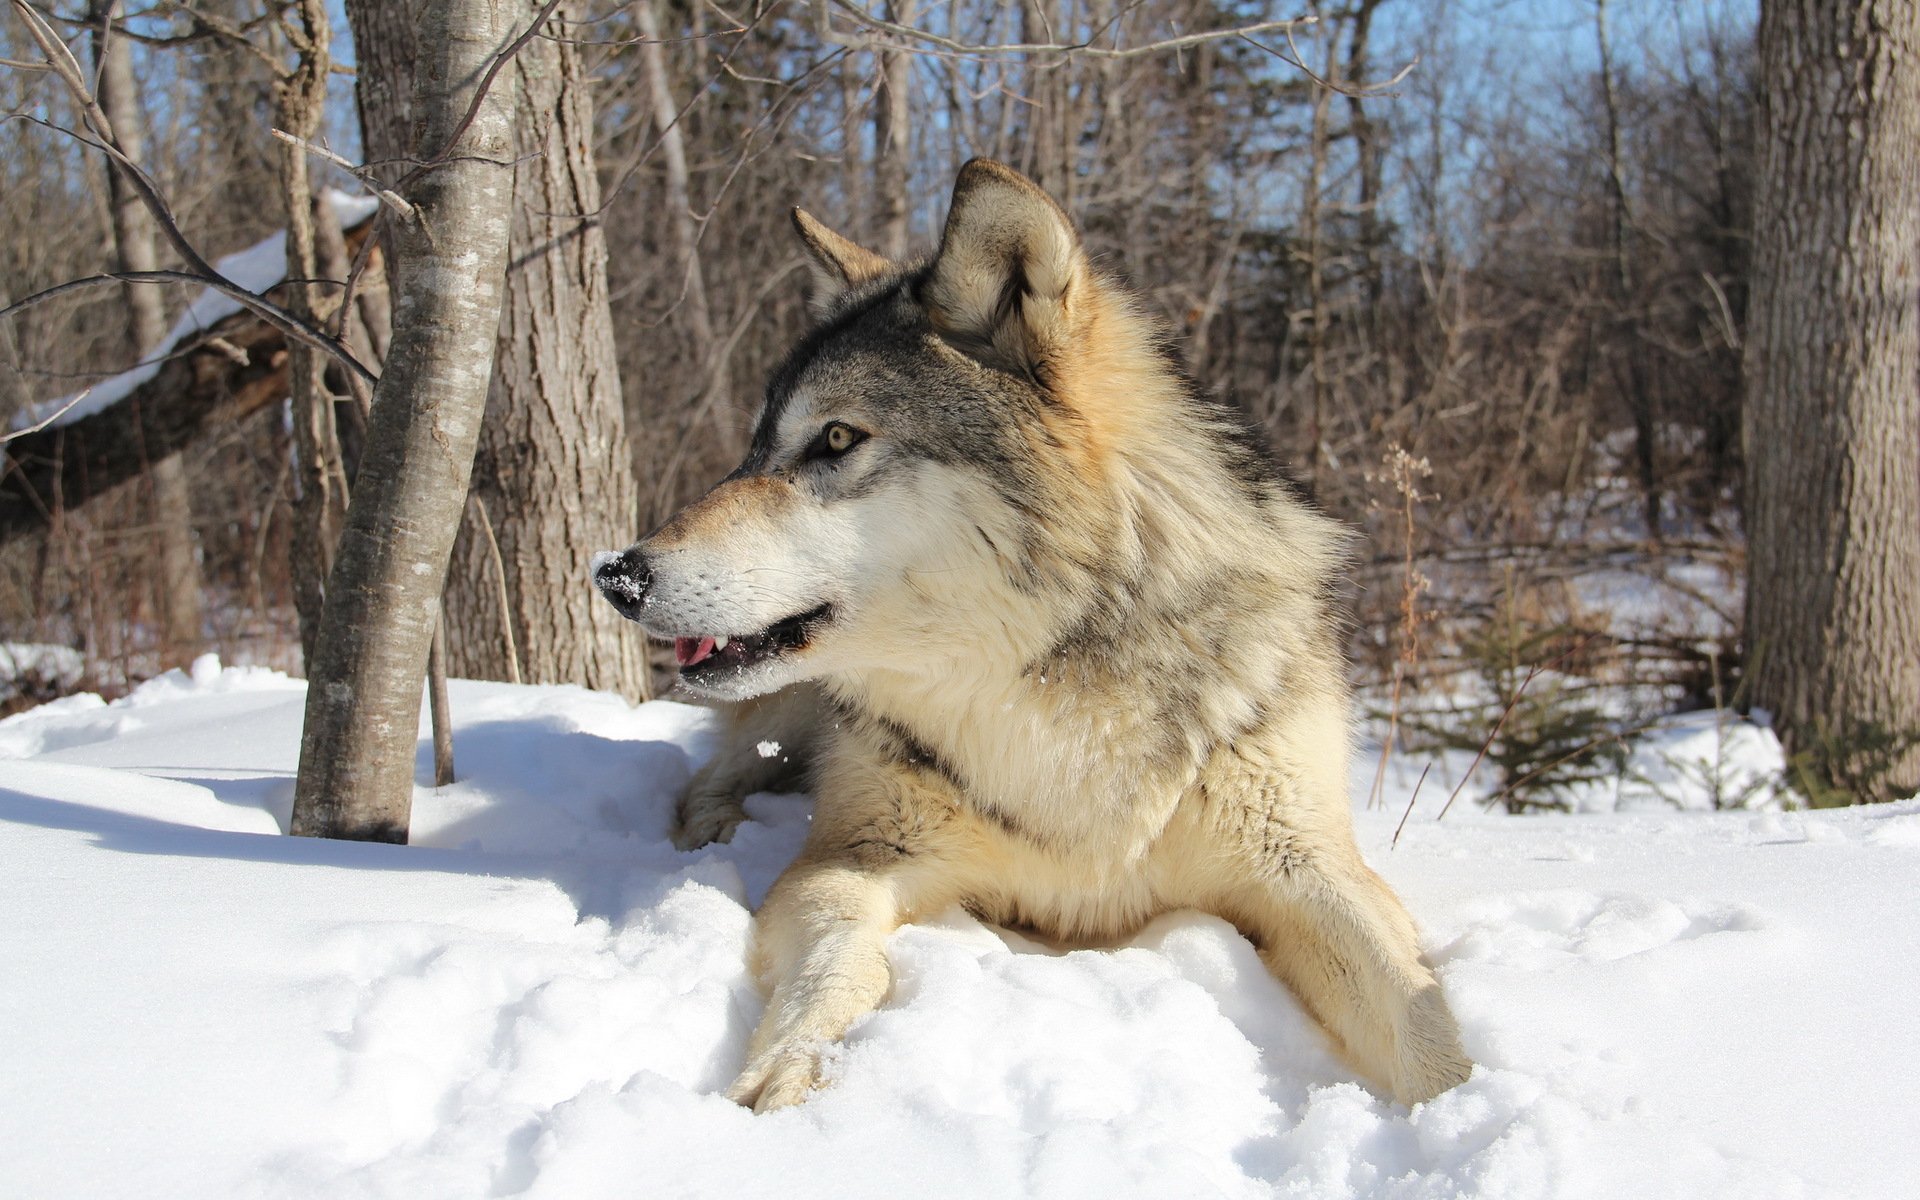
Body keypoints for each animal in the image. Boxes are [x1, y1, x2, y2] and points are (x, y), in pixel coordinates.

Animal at [594, 160, 1473, 1112]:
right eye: (756, 447)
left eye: (834, 438)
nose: (617, 576)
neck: (1049, 687)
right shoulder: (851, 855)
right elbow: (836, 965)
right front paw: (788, 1070)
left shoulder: (1312, 868)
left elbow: (1422, 1021)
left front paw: (1465, 1114)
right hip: (787, 713)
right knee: (710, 778)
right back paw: (712, 831)